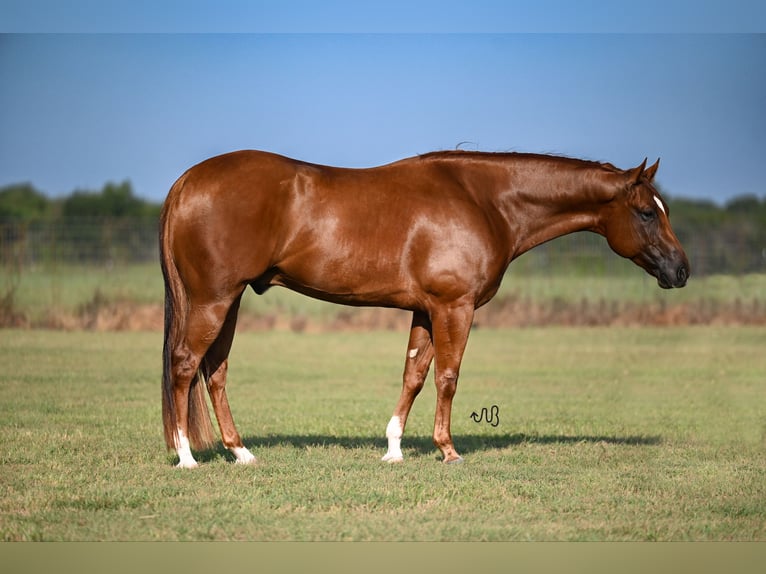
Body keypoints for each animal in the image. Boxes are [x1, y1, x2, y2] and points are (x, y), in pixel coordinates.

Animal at [159, 151, 692, 470]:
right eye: (647, 212)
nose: (681, 270)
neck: (483, 200)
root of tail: (187, 181)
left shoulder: (425, 310)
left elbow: (413, 375)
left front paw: (394, 449)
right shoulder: (455, 307)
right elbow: (447, 377)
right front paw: (448, 450)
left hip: (229, 301)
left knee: (215, 371)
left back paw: (241, 452)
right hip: (214, 299)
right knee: (185, 365)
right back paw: (186, 457)